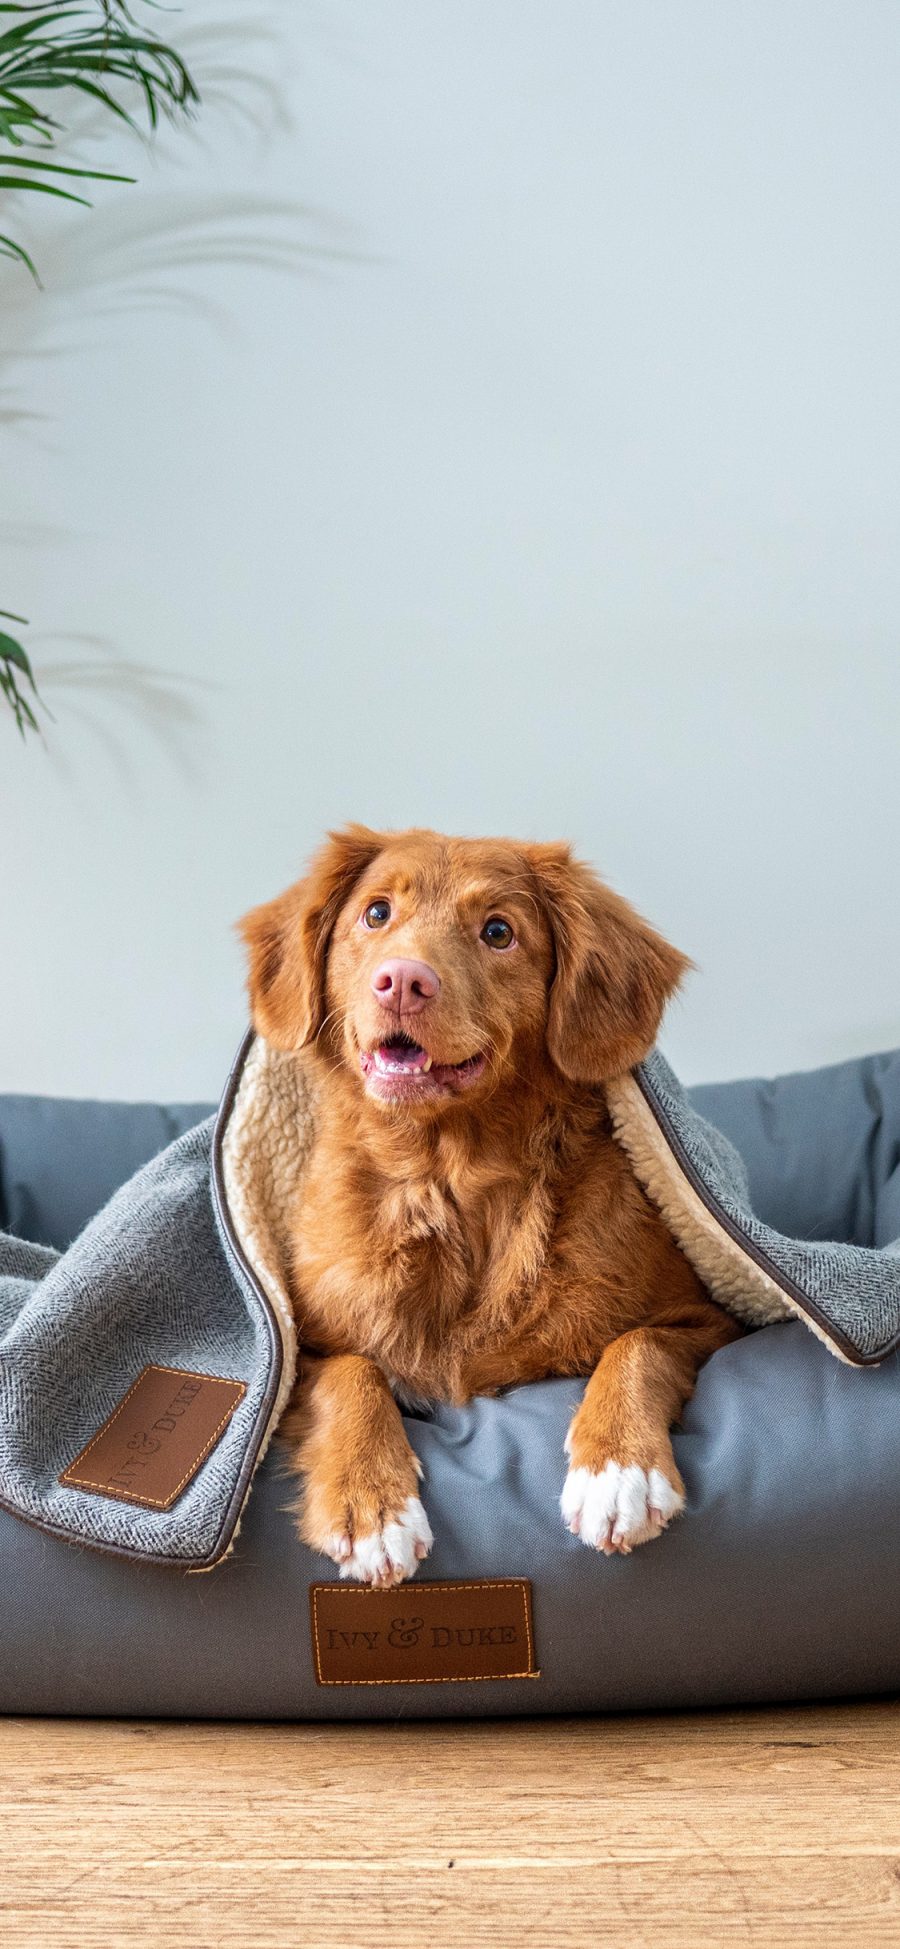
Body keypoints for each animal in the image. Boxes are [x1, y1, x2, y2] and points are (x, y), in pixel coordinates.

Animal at [238, 822, 736, 1582]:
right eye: (376, 913)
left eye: (498, 931)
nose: (402, 981)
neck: (449, 1179)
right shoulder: (299, 1349)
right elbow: (351, 1371)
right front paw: (373, 1503)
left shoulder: (709, 1319)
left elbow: (638, 1342)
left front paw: (618, 1468)